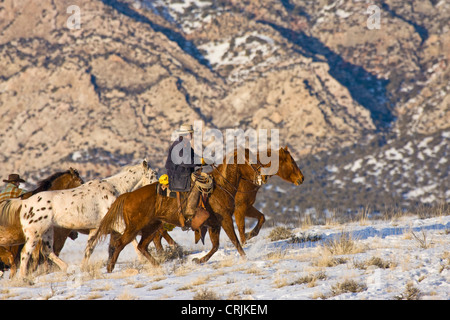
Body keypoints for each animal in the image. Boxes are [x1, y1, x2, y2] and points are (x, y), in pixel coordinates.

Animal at [5, 160, 156, 278]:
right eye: (153, 174)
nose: (158, 188)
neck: (114, 189)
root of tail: (24, 203)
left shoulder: (96, 229)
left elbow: (90, 249)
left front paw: (84, 268)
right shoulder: (117, 225)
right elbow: (131, 239)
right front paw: (144, 259)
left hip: (47, 232)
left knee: (47, 251)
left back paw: (68, 268)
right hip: (35, 234)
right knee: (26, 254)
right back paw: (24, 278)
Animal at [88, 150, 272, 272]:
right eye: (250, 161)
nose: (263, 177)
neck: (220, 187)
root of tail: (127, 195)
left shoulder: (214, 224)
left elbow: (215, 246)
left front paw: (199, 260)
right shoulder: (225, 219)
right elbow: (235, 241)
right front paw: (246, 258)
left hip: (152, 227)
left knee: (141, 246)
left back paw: (157, 266)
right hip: (135, 228)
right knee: (120, 244)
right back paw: (110, 269)